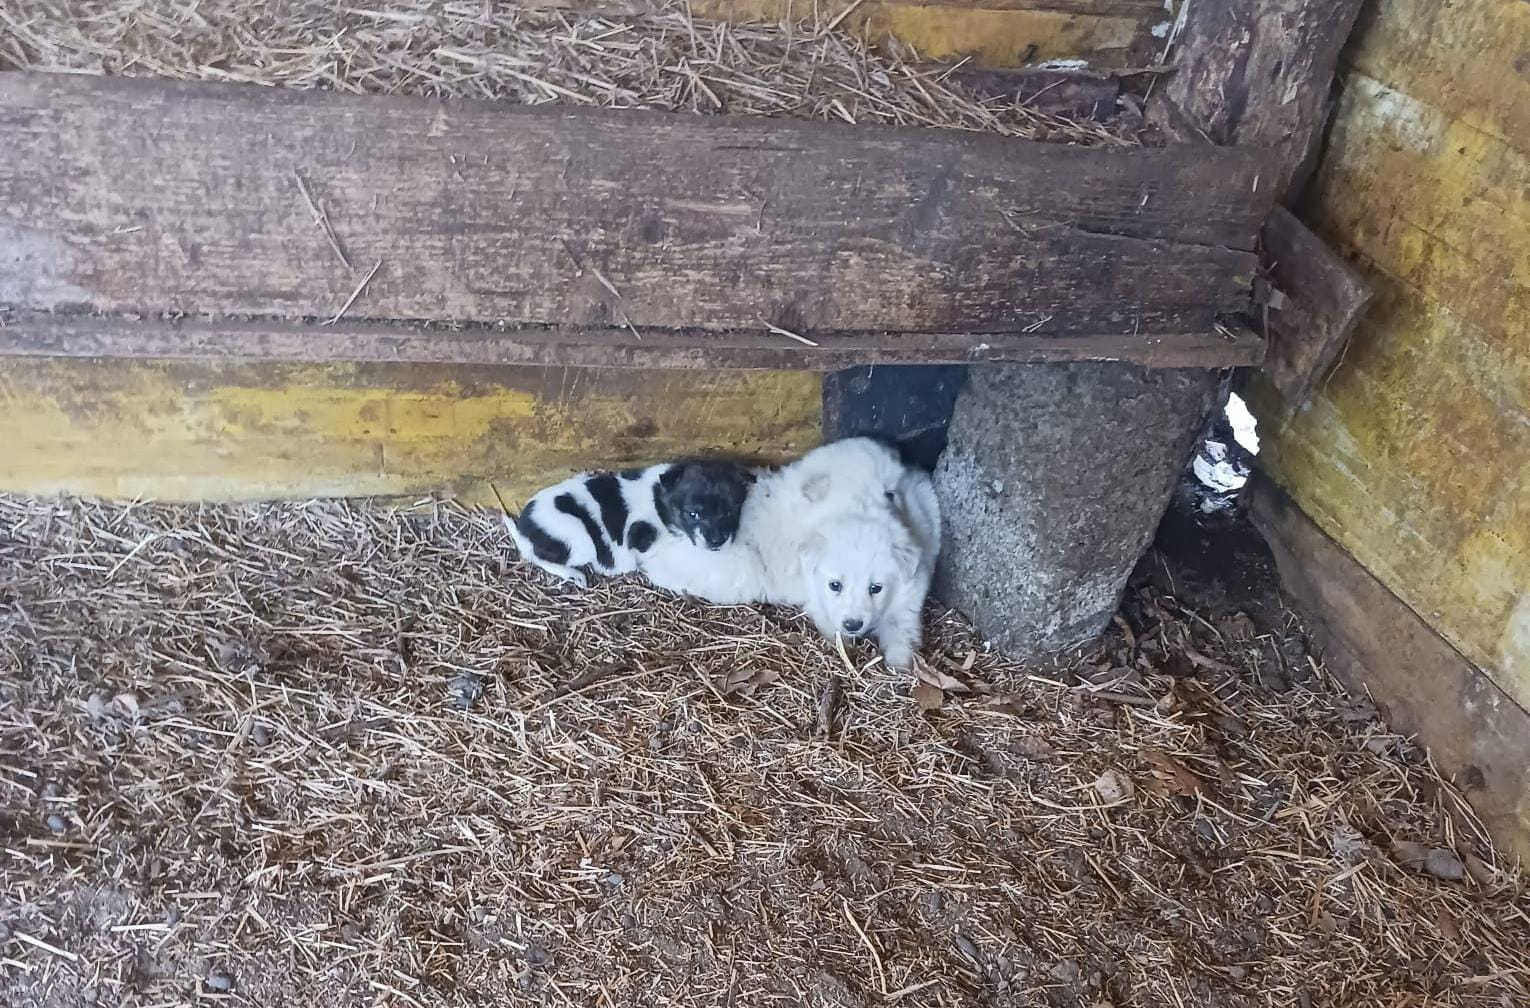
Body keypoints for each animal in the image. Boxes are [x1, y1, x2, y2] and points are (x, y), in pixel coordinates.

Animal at [511, 458, 755, 587]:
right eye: (693, 514)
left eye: (731, 510)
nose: (717, 541)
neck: (660, 502)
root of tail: (524, 529)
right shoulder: (640, 536)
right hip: (579, 540)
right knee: (537, 556)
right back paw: (573, 574)